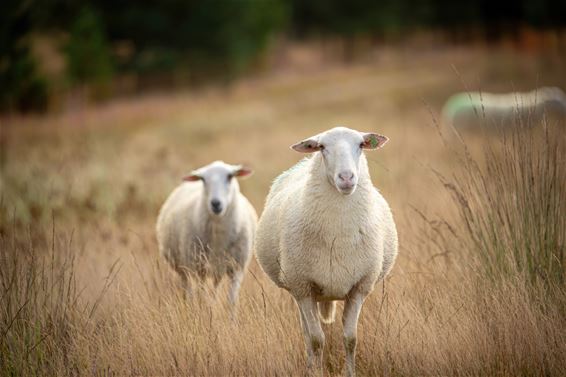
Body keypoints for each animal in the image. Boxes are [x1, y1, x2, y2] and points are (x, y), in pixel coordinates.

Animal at [158, 159, 260, 306]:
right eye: (203, 179)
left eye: (230, 176)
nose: (215, 203)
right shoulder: (199, 268)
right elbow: (202, 296)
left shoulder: (237, 268)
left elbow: (231, 300)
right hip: (184, 266)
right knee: (187, 286)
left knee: (214, 288)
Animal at [256, 127, 400, 376]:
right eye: (322, 147)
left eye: (361, 145)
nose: (347, 178)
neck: (338, 235)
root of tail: (304, 162)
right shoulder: (303, 288)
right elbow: (316, 340)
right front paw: (316, 372)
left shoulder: (359, 288)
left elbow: (351, 338)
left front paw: (350, 373)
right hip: (299, 290)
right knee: (306, 334)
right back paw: (309, 365)